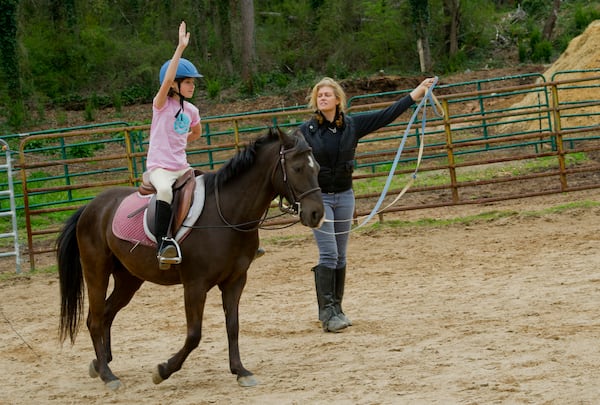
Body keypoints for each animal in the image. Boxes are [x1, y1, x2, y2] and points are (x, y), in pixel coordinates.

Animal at [57, 126, 324, 388]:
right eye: (297, 168)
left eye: (317, 168)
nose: (316, 214)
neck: (227, 214)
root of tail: (90, 207)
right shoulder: (195, 285)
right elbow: (195, 334)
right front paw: (163, 370)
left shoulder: (235, 281)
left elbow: (233, 326)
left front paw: (240, 371)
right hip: (96, 272)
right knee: (95, 319)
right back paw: (107, 374)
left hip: (128, 279)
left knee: (106, 314)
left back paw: (101, 362)